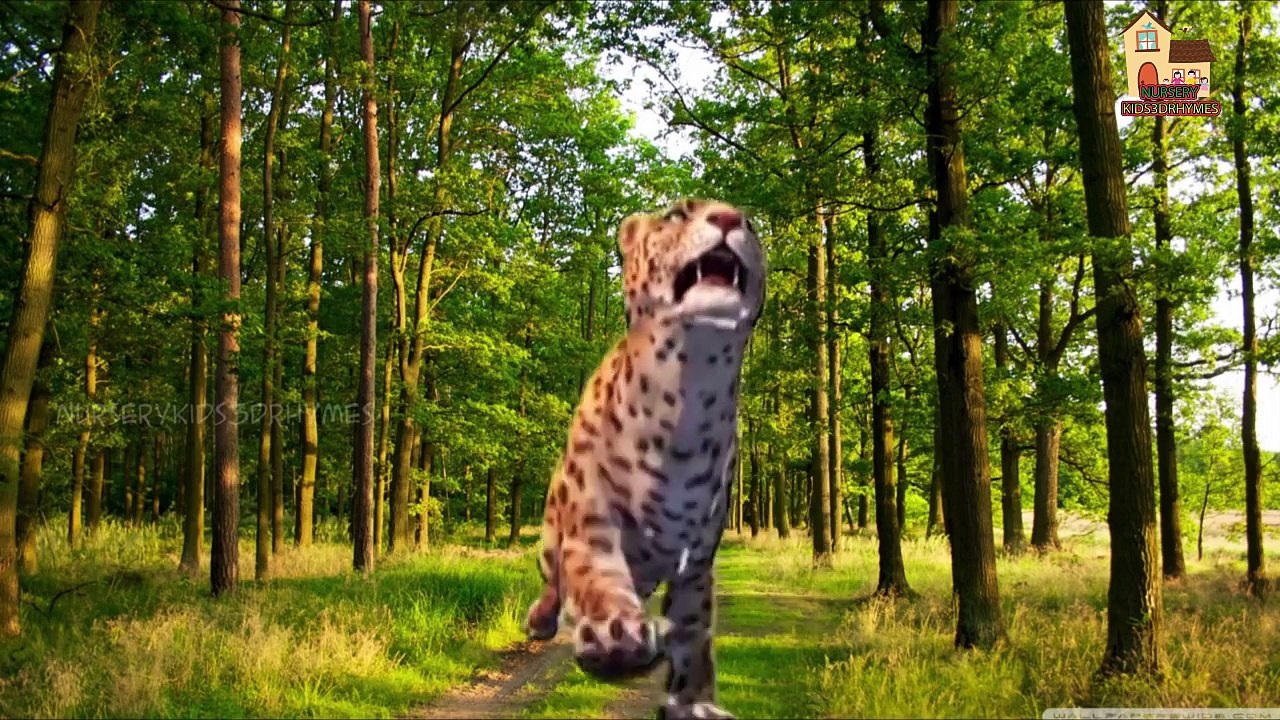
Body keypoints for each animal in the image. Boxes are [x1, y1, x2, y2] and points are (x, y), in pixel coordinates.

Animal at [525, 198, 766, 720]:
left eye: (751, 223)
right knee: (554, 579)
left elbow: (694, 635)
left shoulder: (697, 560)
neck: (688, 394)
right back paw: (544, 620)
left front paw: (694, 701)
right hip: (553, 527)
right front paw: (615, 634)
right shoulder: (591, 521)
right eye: (677, 214)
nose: (728, 219)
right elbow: (597, 578)